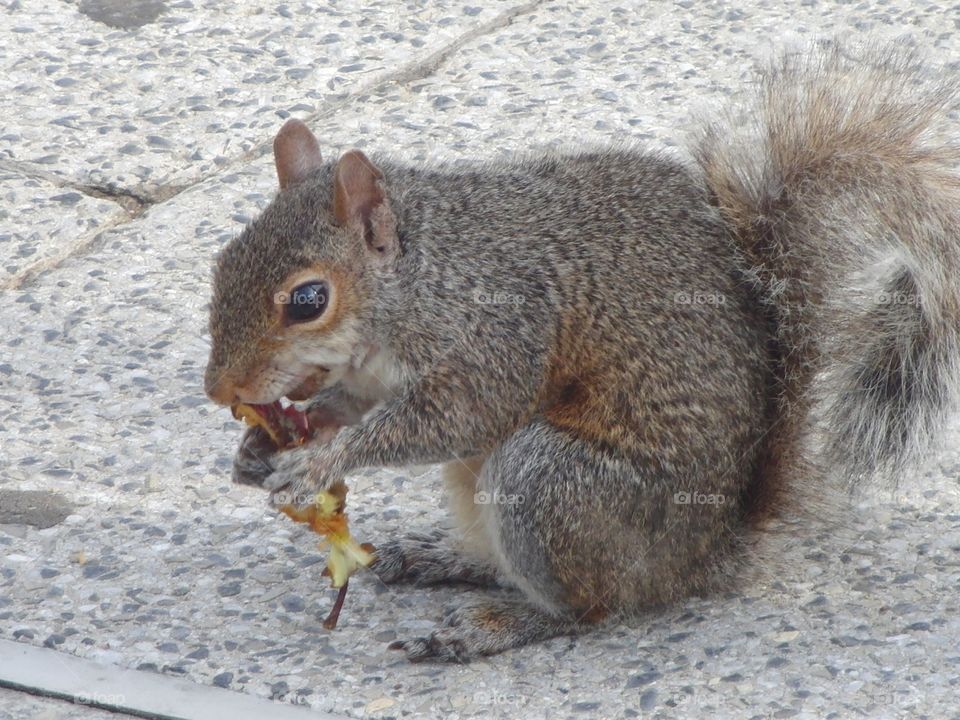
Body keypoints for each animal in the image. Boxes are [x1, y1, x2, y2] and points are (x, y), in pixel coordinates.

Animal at [202, 45, 960, 660]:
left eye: (308, 300)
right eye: (223, 260)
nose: (220, 390)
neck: (424, 276)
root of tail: (702, 556)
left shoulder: (499, 330)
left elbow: (460, 415)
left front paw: (319, 460)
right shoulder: (374, 373)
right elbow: (355, 402)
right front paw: (258, 451)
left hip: (552, 482)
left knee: (592, 606)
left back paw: (493, 625)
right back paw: (443, 559)